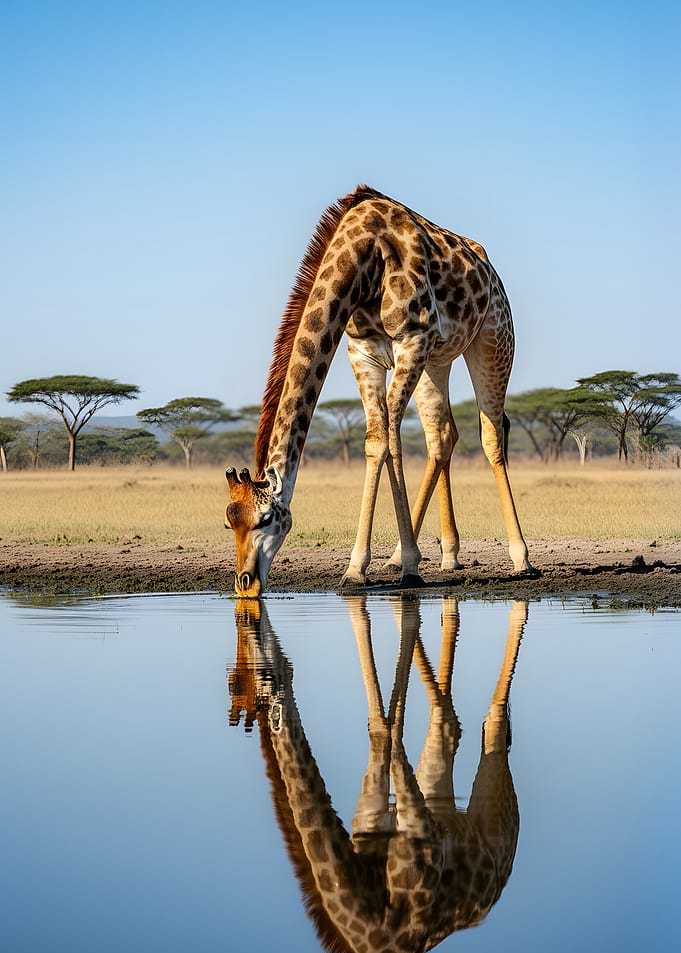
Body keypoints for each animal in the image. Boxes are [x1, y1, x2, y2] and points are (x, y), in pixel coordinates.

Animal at [224, 185, 535, 597]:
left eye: (263, 519)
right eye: (229, 521)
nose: (245, 583)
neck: (363, 260)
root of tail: (489, 268)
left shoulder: (412, 340)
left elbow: (388, 439)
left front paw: (385, 567)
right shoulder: (364, 350)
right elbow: (379, 441)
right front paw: (378, 564)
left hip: (494, 340)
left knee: (491, 435)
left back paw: (522, 560)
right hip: (437, 361)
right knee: (442, 436)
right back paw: (440, 555)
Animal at [228, 595, 528, 952]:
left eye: (261, 676)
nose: (250, 621)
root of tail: (496, 890)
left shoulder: (421, 829)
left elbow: (390, 732)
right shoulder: (371, 814)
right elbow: (383, 732)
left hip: (496, 806)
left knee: (495, 728)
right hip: (436, 785)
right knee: (446, 726)